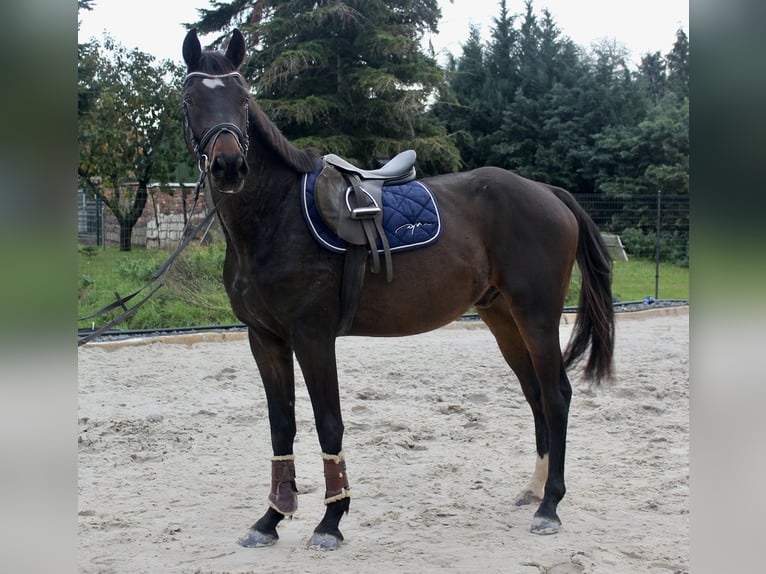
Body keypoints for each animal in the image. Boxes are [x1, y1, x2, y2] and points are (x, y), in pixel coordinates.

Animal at [181, 28, 614, 550]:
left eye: (243, 99)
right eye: (189, 100)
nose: (228, 165)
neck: (276, 217)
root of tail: (549, 192)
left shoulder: (312, 336)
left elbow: (329, 422)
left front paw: (331, 519)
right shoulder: (264, 338)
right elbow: (281, 425)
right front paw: (271, 518)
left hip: (538, 315)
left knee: (556, 394)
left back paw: (550, 505)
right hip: (503, 317)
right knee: (535, 393)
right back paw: (535, 489)